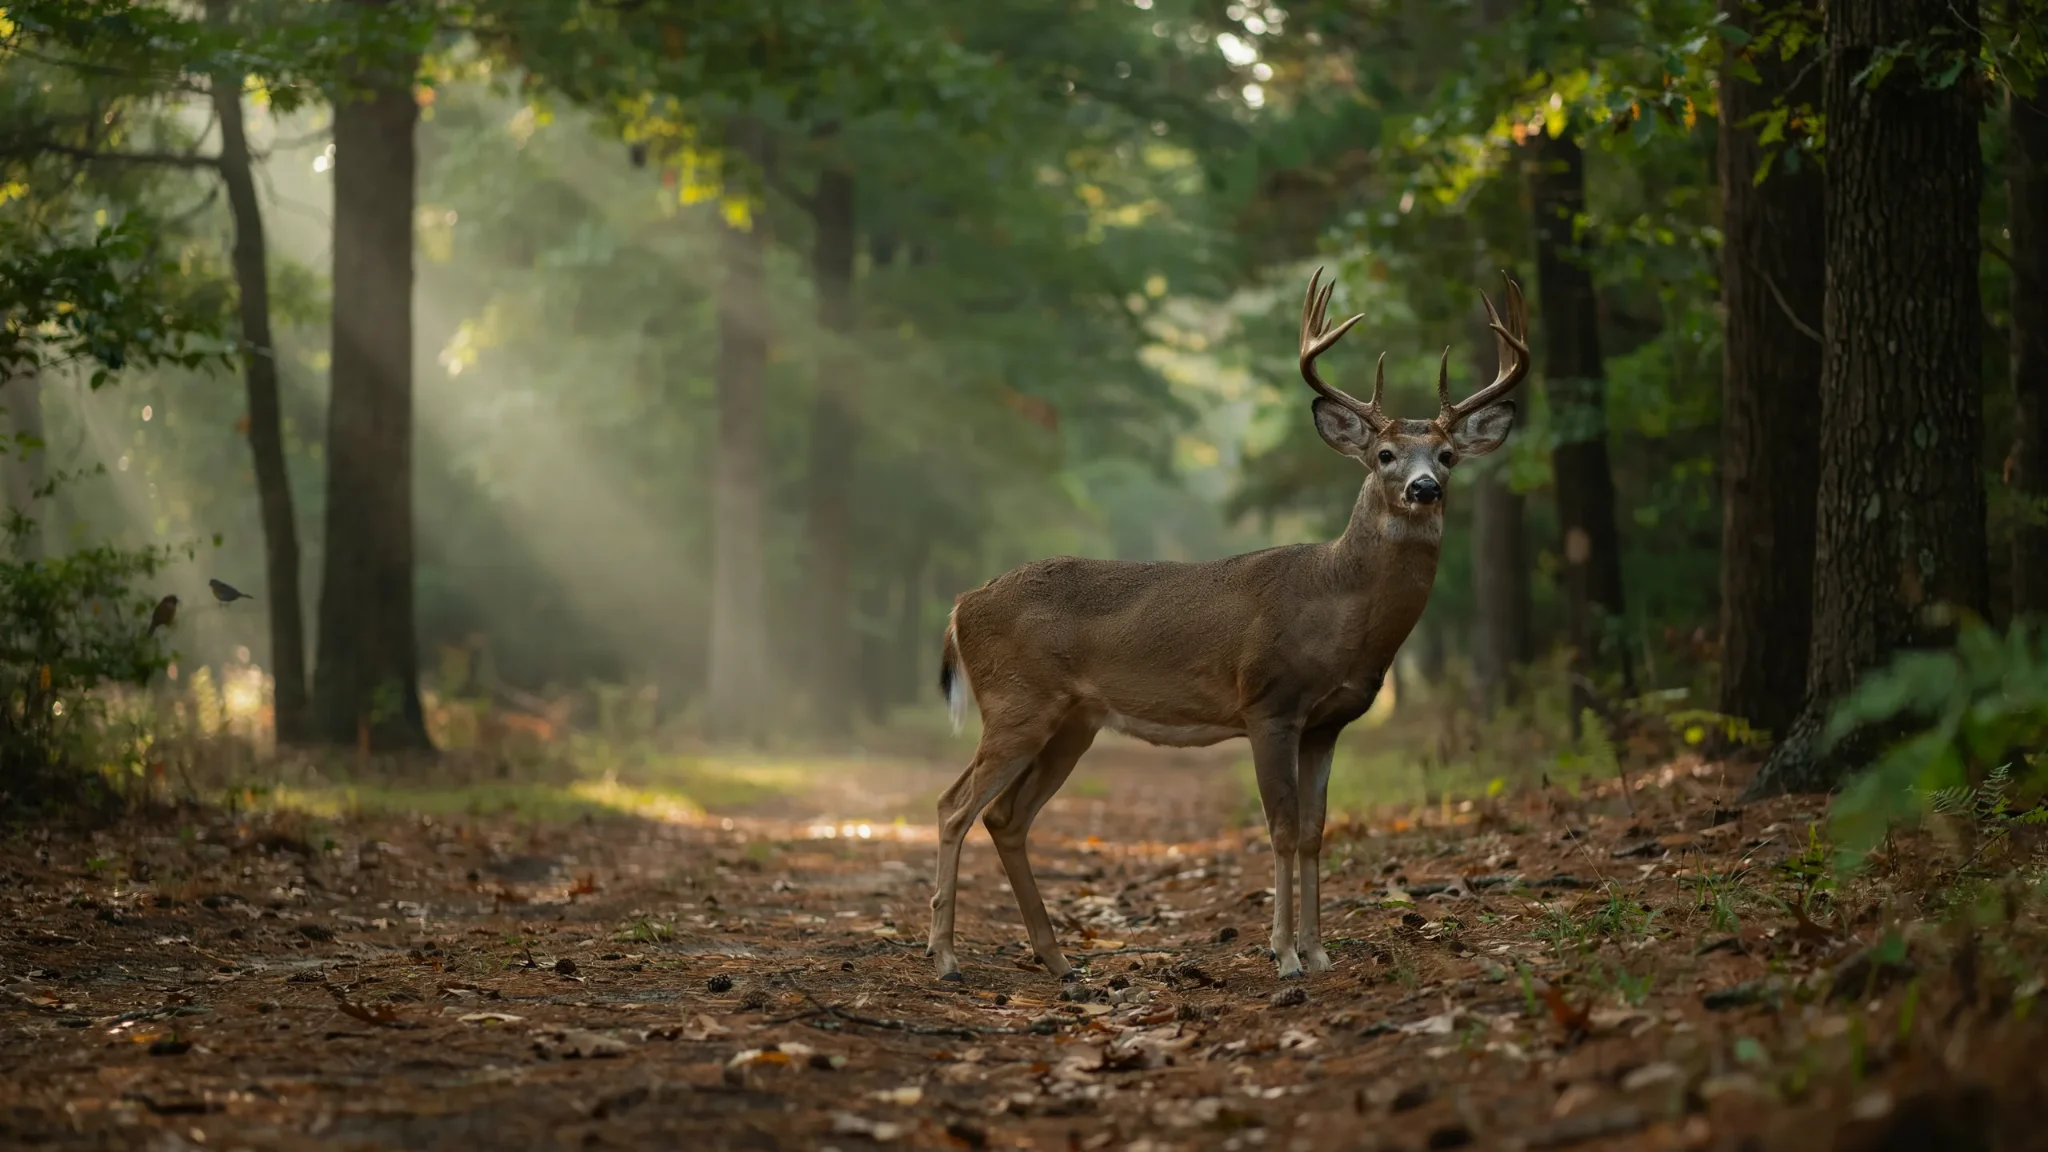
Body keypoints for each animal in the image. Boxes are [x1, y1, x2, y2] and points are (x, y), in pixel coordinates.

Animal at [926, 268, 1530, 982]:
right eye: (1384, 454)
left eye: (1447, 455)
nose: (1424, 489)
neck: (1339, 606)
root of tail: (962, 605)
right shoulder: (1268, 703)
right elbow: (1281, 827)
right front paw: (1284, 956)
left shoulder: (1326, 723)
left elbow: (1315, 831)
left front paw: (1320, 953)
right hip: (1017, 701)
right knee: (953, 807)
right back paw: (945, 957)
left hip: (1073, 721)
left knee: (1005, 817)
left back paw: (1057, 959)